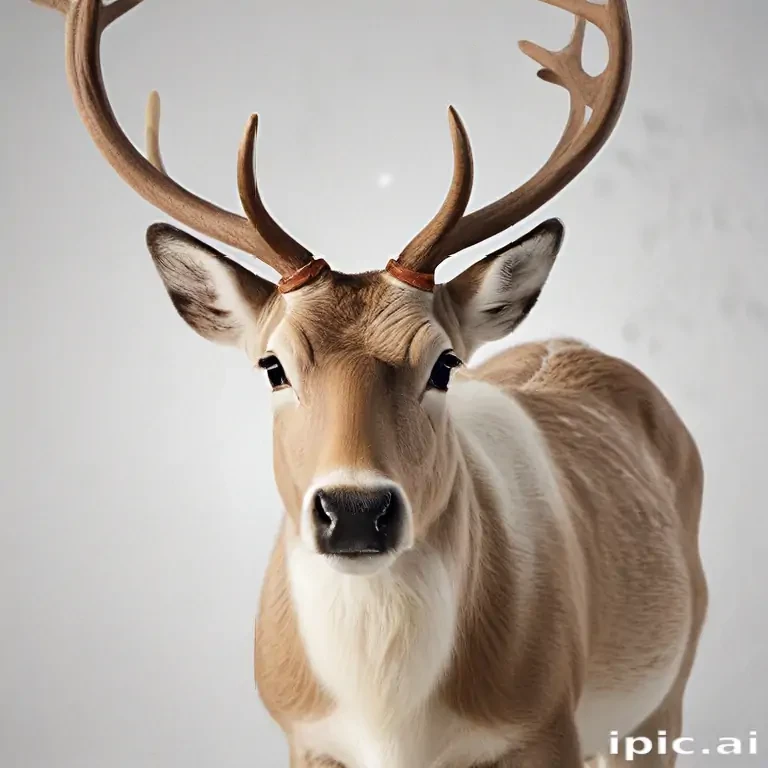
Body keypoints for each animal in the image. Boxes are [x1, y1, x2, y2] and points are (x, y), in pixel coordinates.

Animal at [32, 0, 708, 766]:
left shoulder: (544, 725)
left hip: (662, 698)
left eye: (444, 363)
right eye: (273, 365)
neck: (391, 720)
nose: (355, 510)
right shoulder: (302, 734)